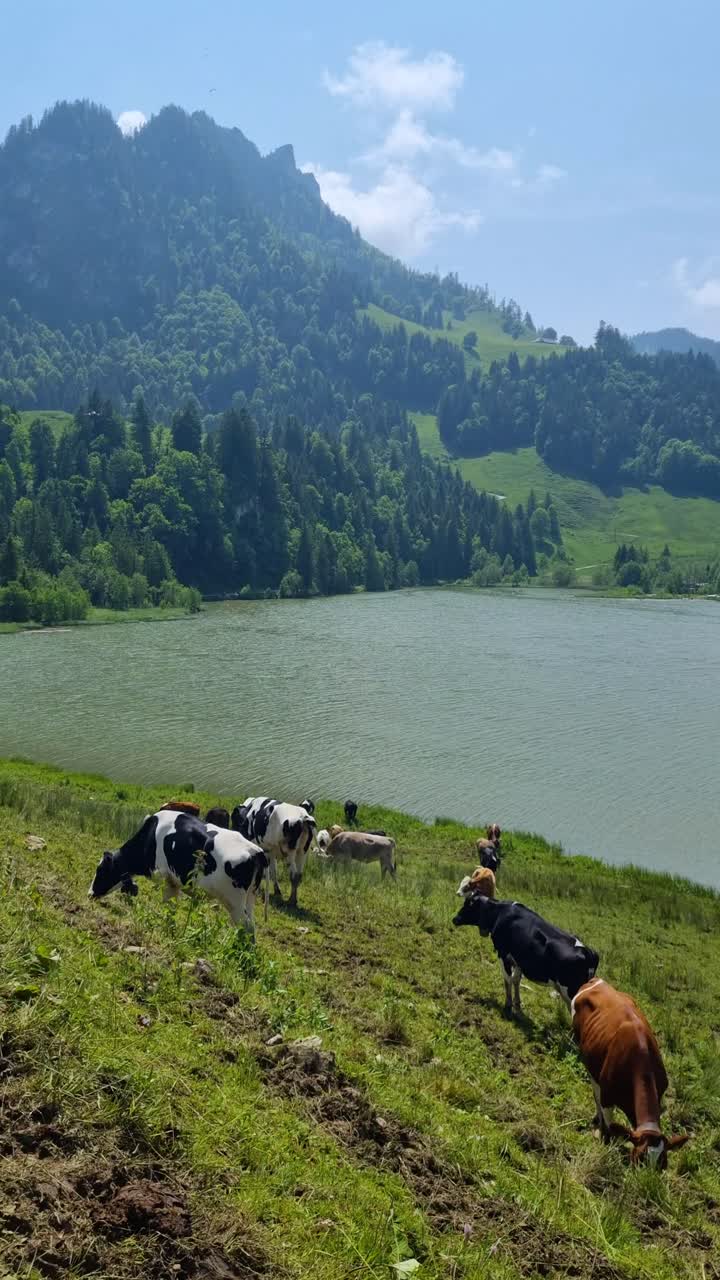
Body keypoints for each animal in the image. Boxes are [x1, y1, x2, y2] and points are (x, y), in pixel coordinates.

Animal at [88, 810, 268, 934]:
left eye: (101, 870)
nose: (89, 894)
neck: (150, 836)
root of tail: (255, 850)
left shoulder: (164, 876)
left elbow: (166, 901)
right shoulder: (174, 881)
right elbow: (172, 905)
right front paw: (169, 920)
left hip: (234, 901)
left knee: (245, 926)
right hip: (250, 896)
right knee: (251, 925)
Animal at [453, 894, 599, 1014]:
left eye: (468, 905)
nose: (455, 919)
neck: (499, 912)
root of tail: (588, 952)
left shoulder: (504, 954)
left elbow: (507, 979)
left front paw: (508, 1006)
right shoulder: (518, 959)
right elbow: (516, 980)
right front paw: (517, 1006)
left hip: (570, 992)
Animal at [571, 978, 688, 1167]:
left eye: (663, 1165)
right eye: (639, 1160)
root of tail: (597, 981)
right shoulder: (607, 1097)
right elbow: (610, 1125)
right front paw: (608, 1143)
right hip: (585, 1055)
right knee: (595, 1090)